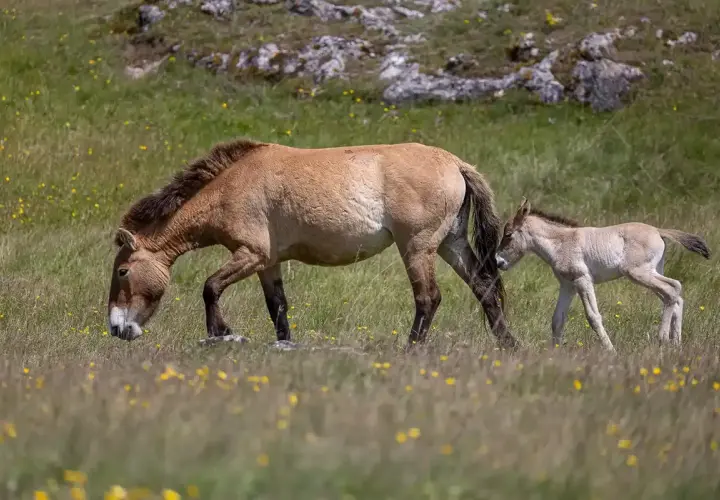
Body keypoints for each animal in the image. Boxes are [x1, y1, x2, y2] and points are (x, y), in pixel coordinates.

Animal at [107, 138, 519, 349]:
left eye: (123, 270)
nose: (116, 328)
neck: (231, 186)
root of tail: (456, 164)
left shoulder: (251, 254)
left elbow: (210, 287)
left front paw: (220, 333)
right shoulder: (267, 262)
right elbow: (277, 308)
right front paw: (283, 346)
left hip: (417, 247)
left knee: (428, 298)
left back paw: (411, 350)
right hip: (450, 243)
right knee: (483, 287)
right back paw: (509, 345)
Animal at [495, 198, 710, 352]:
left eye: (508, 235)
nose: (498, 262)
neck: (562, 242)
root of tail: (658, 230)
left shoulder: (582, 280)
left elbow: (593, 317)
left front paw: (610, 350)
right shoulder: (567, 285)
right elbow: (557, 320)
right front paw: (554, 354)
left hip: (639, 273)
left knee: (673, 288)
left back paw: (663, 340)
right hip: (652, 272)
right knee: (675, 296)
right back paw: (676, 345)